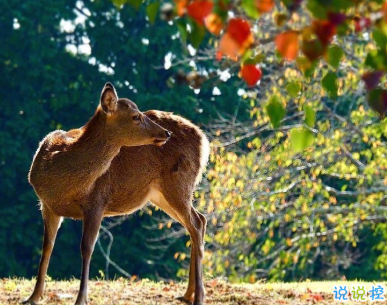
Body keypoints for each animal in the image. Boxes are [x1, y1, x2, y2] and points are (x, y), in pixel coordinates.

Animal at [22, 82, 211, 304]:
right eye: (135, 116)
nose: (166, 133)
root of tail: (204, 140)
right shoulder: (46, 204)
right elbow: (47, 247)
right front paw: (33, 297)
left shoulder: (97, 201)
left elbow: (86, 248)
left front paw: (81, 299)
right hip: (162, 195)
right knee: (199, 221)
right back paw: (187, 294)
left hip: (179, 185)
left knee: (196, 224)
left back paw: (199, 297)